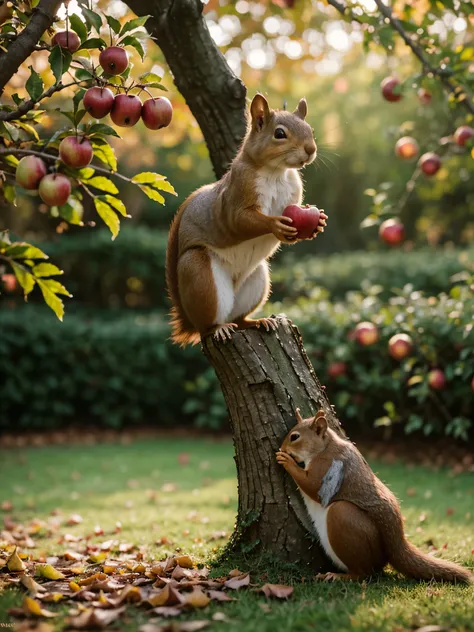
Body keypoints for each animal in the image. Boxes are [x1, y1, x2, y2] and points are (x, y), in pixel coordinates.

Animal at [165, 94, 328, 346]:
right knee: (207, 325)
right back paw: (219, 328)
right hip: (200, 276)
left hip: (257, 282)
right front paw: (275, 225)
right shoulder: (235, 197)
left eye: (310, 130)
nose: (310, 149)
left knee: (239, 318)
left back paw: (258, 321)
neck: (276, 172)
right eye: (279, 133)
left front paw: (317, 223)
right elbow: (240, 221)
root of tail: (189, 323)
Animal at [276, 410, 472, 584]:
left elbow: (311, 486)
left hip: (343, 518)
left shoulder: (327, 469)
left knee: (364, 572)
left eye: (294, 437)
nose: (282, 448)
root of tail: (395, 543)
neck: (325, 448)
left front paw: (287, 460)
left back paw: (340, 576)